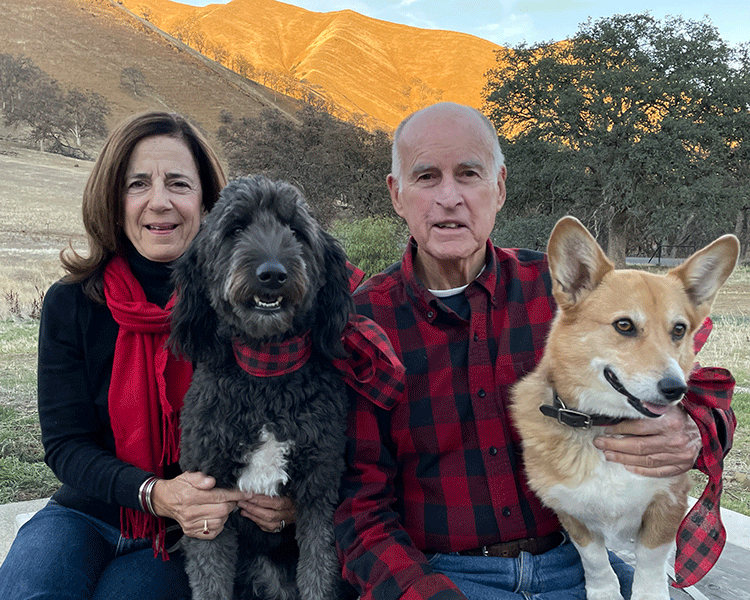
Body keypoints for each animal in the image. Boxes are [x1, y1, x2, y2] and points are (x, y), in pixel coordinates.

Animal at [172, 175, 354, 600]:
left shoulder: (319, 488)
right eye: (235, 229)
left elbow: (319, 570)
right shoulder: (207, 501)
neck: (267, 375)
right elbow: (209, 579)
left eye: (296, 231)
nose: (272, 273)